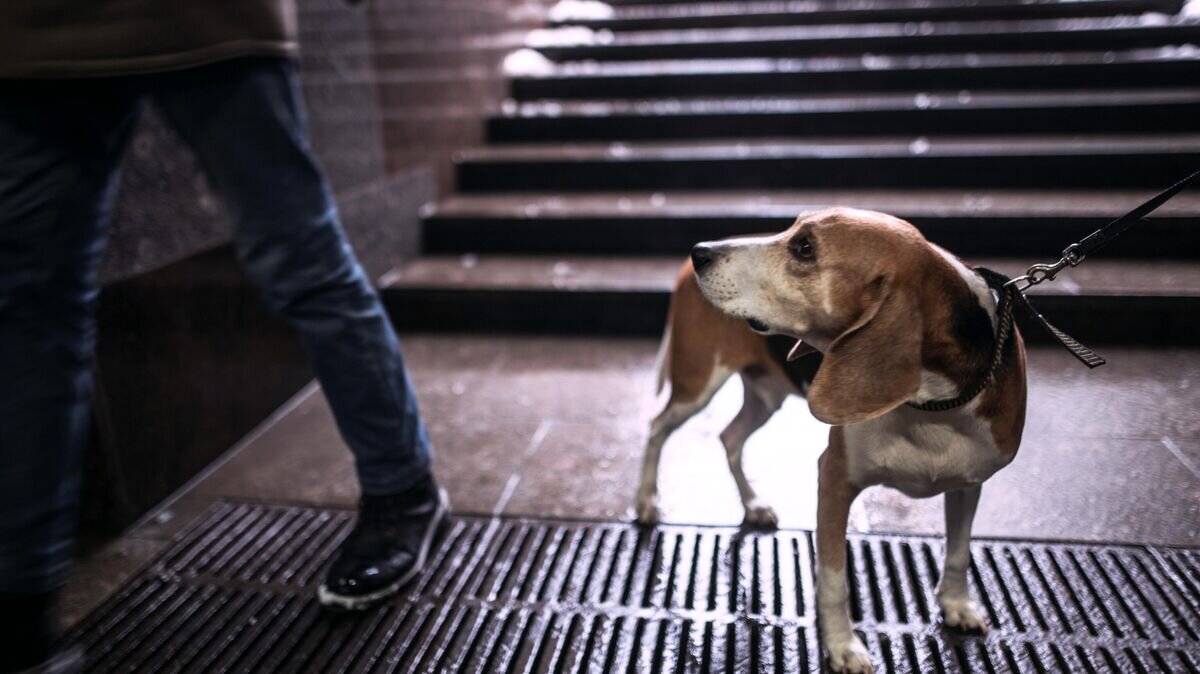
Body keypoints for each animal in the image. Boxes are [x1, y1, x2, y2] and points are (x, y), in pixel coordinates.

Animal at [633, 207, 1027, 666]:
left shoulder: (969, 481)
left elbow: (960, 551)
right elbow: (834, 582)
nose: (701, 253)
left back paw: (753, 504)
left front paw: (957, 605)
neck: (931, 409)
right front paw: (842, 646)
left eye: (805, 248)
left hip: (766, 393)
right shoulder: (835, 480)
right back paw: (646, 501)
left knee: (730, 438)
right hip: (697, 383)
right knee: (656, 429)